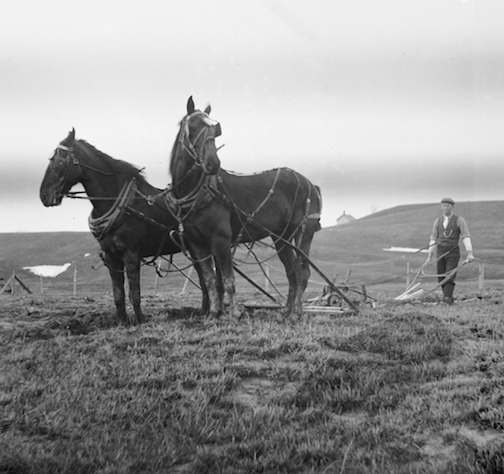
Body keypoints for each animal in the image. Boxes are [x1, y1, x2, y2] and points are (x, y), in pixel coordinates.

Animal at [38, 128, 209, 324]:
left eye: (59, 161)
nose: (43, 195)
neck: (119, 204)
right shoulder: (112, 258)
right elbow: (118, 294)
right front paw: (122, 322)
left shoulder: (131, 256)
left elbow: (134, 293)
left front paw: (140, 320)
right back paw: (204, 312)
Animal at [167, 96, 320, 318]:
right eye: (193, 127)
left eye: (215, 130)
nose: (213, 163)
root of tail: (309, 183)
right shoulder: (197, 243)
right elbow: (210, 281)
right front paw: (213, 314)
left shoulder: (221, 239)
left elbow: (228, 281)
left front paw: (235, 314)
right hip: (281, 237)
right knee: (291, 272)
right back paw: (286, 311)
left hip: (304, 232)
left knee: (302, 272)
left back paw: (296, 312)